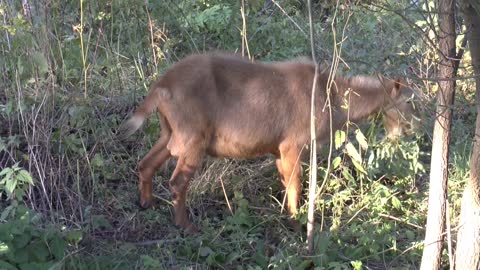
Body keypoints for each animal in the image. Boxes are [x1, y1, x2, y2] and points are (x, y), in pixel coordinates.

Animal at [121, 53, 420, 233]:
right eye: (409, 101)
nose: (410, 130)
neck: (332, 96)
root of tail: (161, 86)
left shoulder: (278, 150)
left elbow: (286, 182)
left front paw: (288, 217)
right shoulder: (293, 145)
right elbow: (297, 183)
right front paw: (298, 224)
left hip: (169, 133)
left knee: (145, 164)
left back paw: (146, 203)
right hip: (193, 140)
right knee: (177, 182)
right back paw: (187, 227)